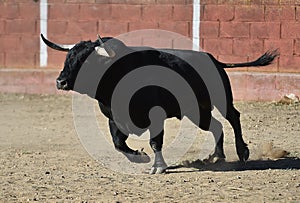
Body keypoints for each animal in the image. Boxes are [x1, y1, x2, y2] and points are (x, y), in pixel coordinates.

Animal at [41, 34, 278, 174]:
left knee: (233, 117)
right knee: (216, 126)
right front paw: (139, 157)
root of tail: (213, 59)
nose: (60, 82)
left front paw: (158, 167)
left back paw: (242, 152)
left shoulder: (156, 117)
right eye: (68, 58)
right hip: (197, 111)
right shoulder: (114, 118)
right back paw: (215, 156)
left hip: (222, 99)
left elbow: (156, 142)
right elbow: (118, 144)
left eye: (87, 61)